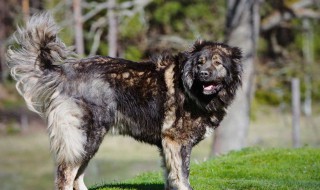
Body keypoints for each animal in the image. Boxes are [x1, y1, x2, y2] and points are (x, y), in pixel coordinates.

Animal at [6, 13, 242, 190]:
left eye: (217, 63)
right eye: (200, 62)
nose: (203, 74)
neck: (191, 88)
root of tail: (64, 72)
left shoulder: (168, 145)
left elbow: (170, 177)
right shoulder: (177, 142)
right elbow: (183, 176)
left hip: (90, 142)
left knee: (77, 177)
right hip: (85, 138)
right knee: (66, 176)